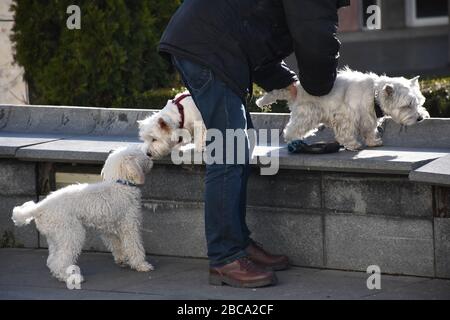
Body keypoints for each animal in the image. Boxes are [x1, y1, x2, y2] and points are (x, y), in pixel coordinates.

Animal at [11, 145, 155, 282]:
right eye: (141, 154)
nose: (150, 158)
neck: (120, 183)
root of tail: (40, 206)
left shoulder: (109, 229)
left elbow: (117, 244)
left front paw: (122, 259)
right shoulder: (129, 225)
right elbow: (134, 246)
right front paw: (142, 265)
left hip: (56, 237)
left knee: (52, 260)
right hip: (71, 233)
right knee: (60, 260)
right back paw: (68, 277)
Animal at [256, 68, 428, 151]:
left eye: (419, 103)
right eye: (407, 105)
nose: (420, 118)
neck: (374, 93)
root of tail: (297, 87)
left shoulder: (367, 116)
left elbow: (369, 130)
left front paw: (373, 141)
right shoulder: (347, 116)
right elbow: (346, 132)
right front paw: (352, 145)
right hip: (308, 113)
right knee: (292, 128)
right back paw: (294, 140)